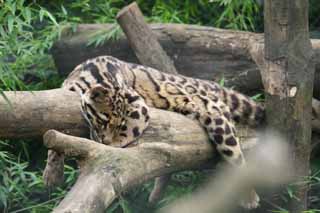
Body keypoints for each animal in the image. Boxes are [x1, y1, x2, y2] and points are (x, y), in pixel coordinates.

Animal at [44, 55, 264, 210]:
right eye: (104, 121)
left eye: (120, 127)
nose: (104, 141)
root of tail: (211, 85)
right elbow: (54, 128)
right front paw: (52, 174)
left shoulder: (140, 107)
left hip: (210, 111)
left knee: (234, 153)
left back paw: (249, 196)